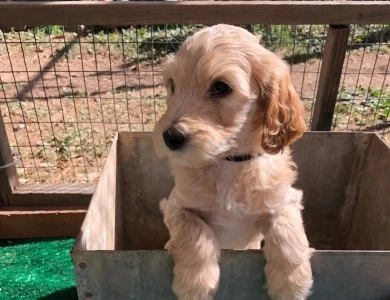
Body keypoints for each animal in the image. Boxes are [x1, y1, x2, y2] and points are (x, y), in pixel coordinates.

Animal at [154, 24, 312, 300]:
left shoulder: (285, 199)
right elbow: (193, 232)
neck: (230, 161)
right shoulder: (174, 206)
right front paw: (195, 283)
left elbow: (288, 232)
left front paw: (291, 284)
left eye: (220, 87)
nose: (170, 137)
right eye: (172, 85)